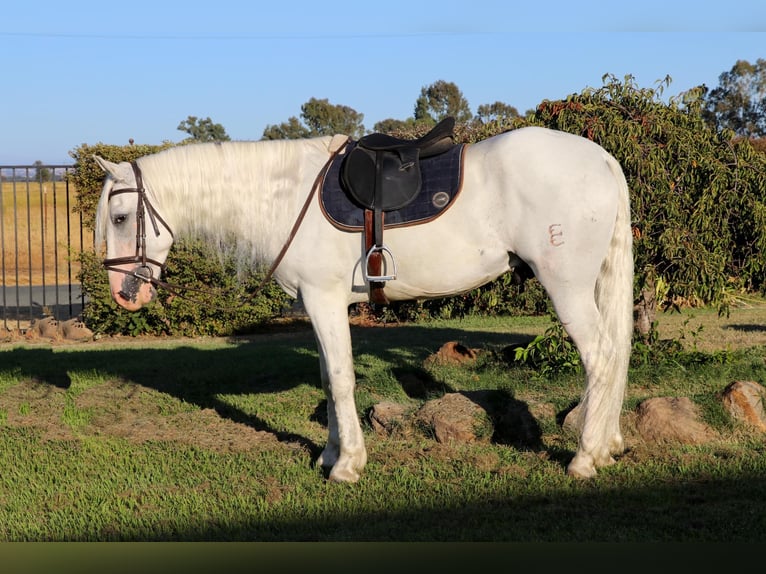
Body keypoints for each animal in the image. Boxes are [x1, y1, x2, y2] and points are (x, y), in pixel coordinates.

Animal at [94, 125, 636, 482]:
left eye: (120, 217)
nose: (124, 294)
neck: (286, 195)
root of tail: (603, 159)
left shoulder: (324, 299)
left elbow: (340, 379)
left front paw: (348, 465)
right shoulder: (317, 305)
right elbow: (327, 379)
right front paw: (330, 454)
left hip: (566, 287)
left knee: (602, 359)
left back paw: (585, 458)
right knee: (616, 356)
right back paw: (608, 445)